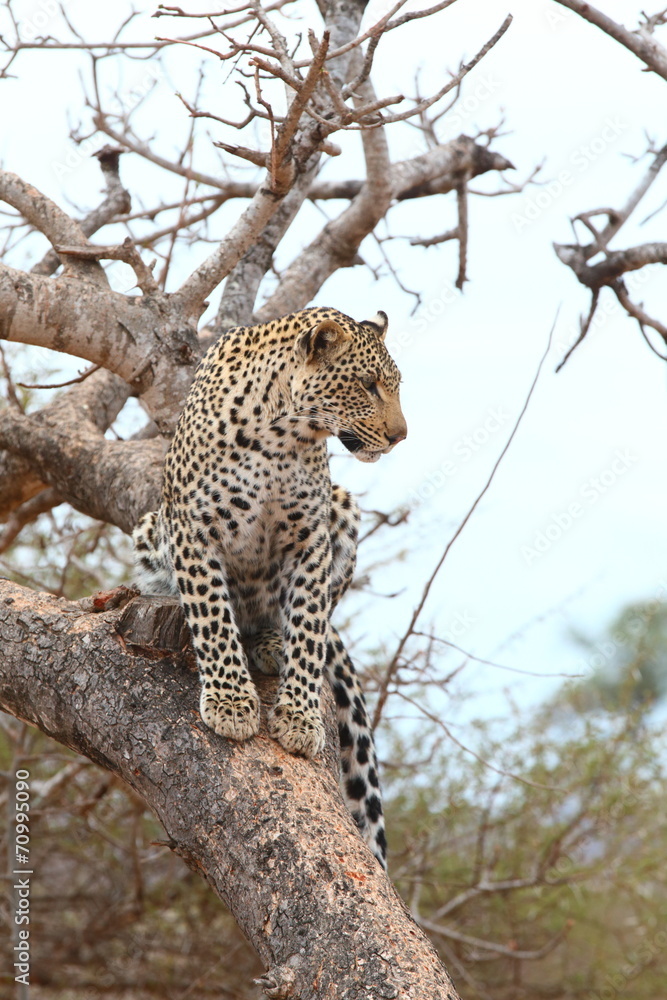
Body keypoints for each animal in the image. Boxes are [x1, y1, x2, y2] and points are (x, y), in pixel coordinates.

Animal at [132, 306, 407, 869]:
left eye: (396, 387)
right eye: (368, 385)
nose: (401, 436)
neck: (283, 434)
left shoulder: (310, 539)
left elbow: (308, 625)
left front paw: (298, 717)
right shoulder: (195, 529)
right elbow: (213, 618)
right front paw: (231, 704)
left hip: (344, 507)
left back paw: (269, 642)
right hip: (151, 530)